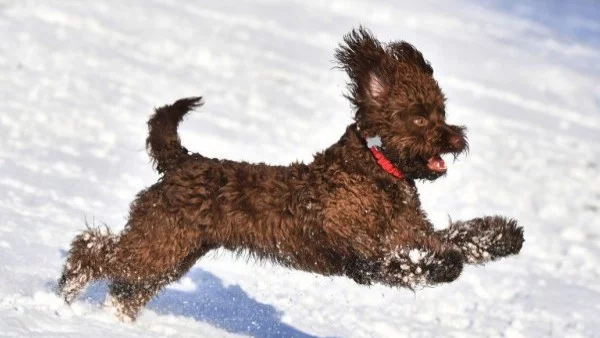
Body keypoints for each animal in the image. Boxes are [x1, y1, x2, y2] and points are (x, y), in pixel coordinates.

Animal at [58, 27, 524, 320]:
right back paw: (67, 289)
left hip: (176, 252)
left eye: (442, 111)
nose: (456, 137)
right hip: (160, 240)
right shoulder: (360, 251)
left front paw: (502, 236)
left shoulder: (411, 231)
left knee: (127, 284)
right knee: (94, 250)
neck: (376, 169)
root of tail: (183, 160)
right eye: (421, 118)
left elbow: (456, 237)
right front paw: (444, 266)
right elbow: (410, 264)